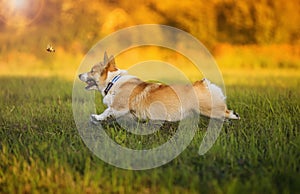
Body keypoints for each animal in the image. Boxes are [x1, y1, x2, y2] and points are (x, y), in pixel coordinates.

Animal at [78, 52, 240, 123]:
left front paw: (97, 117)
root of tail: (202, 83)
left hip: (210, 109)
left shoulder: (119, 106)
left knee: (229, 113)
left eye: (91, 71)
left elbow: (107, 111)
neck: (113, 81)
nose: (79, 74)